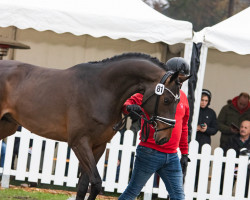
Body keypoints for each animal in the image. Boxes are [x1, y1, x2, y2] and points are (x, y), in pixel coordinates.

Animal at [0, 52, 188, 199]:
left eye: (178, 102)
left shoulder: (98, 146)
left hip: (7, 126)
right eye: (167, 100)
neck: (100, 89)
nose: (164, 137)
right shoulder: (79, 143)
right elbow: (96, 183)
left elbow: (84, 185)